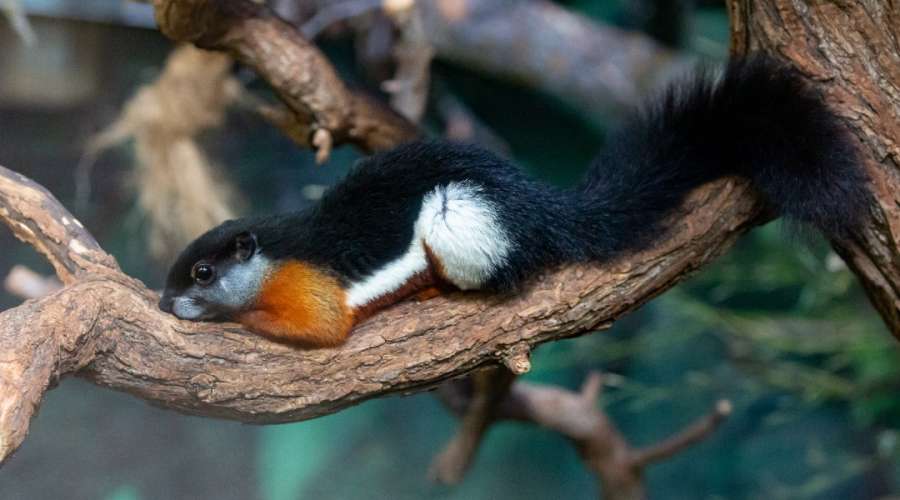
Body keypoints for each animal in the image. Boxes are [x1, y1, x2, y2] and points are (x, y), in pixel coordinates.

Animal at [158, 57, 870, 347]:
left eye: (203, 273)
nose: (166, 303)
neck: (271, 255)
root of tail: (544, 210)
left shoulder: (308, 290)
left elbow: (317, 328)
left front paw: (235, 319)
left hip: (458, 217)